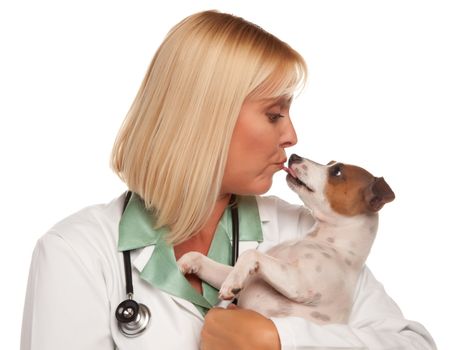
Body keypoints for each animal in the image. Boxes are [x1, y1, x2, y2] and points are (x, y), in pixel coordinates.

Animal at [178, 154, 394, 324]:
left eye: (337, 172)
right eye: (329, 163)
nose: (294, 156)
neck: (324, 239)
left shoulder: (300, 283)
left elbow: (250, 254)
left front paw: (232, 282)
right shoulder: (254, 274)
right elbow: (203, 259)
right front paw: (181, 263)